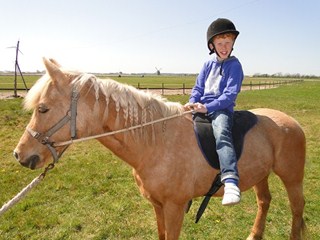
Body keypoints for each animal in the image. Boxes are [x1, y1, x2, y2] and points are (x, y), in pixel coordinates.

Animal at [13, 58, 306, 240]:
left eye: (43, 108)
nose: (20, 154)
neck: (156, 144)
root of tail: (292, 122)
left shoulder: (175, 207)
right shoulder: (158, 206)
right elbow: (161, 234)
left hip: (291, 177)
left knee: (297, 208)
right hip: (260, 174)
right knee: (264, 201)